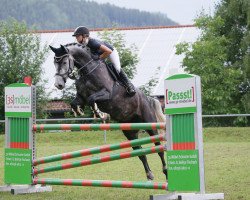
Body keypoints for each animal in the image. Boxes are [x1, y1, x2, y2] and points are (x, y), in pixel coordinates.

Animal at [49, 43, 167, 180]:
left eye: (64, 62)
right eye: (54, 63)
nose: (58, 85)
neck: (87, 71)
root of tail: (147, 98)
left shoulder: (107, 94)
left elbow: (92, 99)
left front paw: (98, 113)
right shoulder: (81, 97)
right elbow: (75, 103)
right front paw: (79, 111)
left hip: (150, 125)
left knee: (159, 148)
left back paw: (165, 171)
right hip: (129, 132)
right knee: (140, 152)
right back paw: (149, 174)